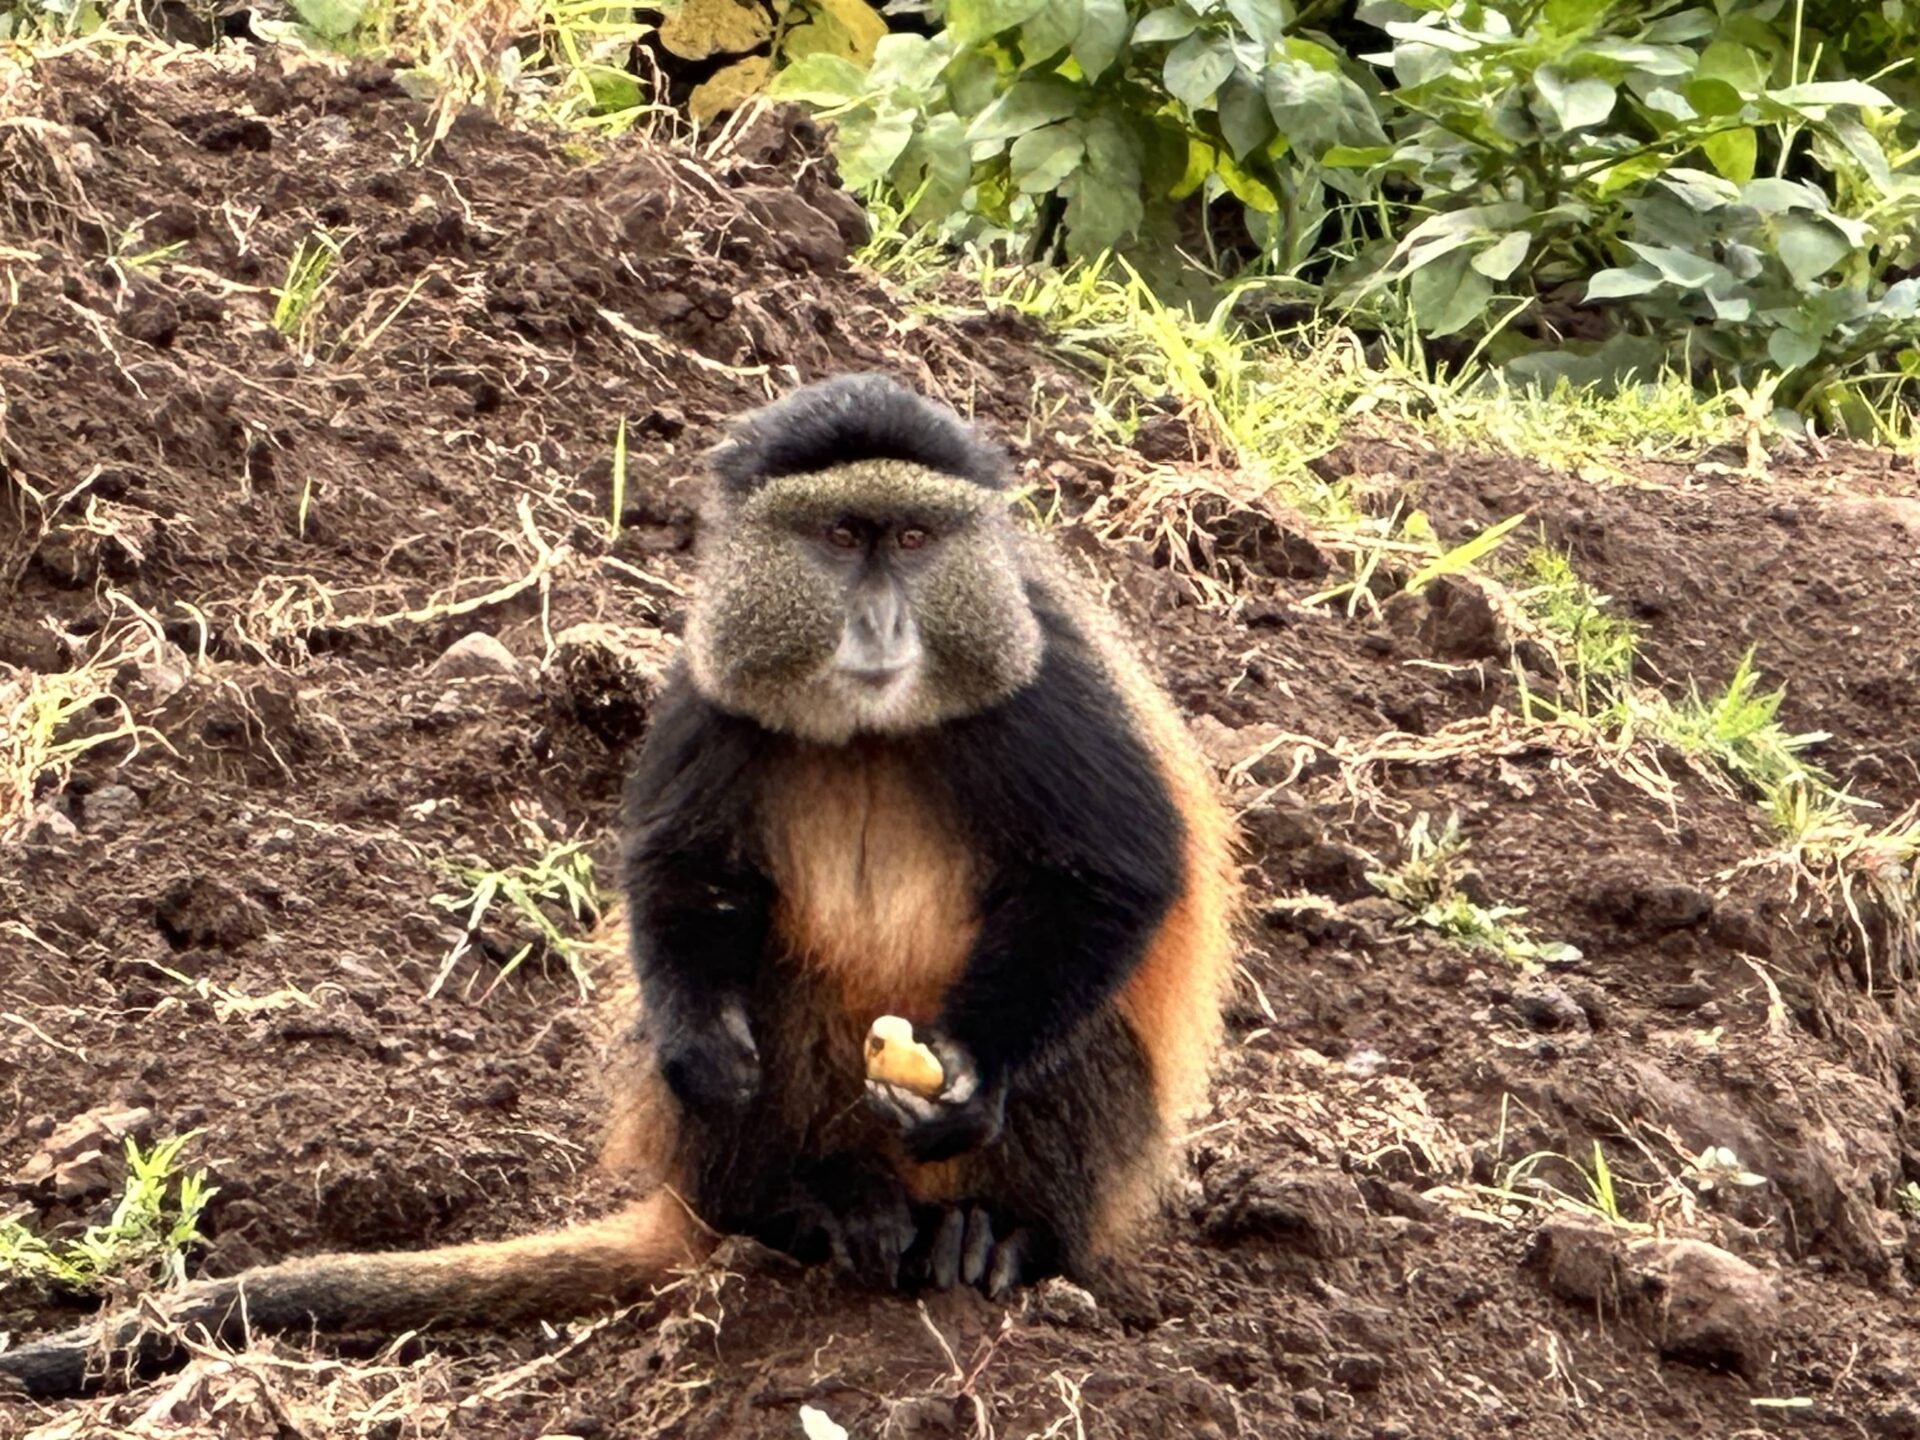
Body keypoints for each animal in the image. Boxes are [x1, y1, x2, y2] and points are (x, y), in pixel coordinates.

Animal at [0, 373, 1238, 1399]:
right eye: (842, 535)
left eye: (917, 536)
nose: (884, 619)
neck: (872, 729)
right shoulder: (709, 677)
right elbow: (688, 874)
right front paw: (700, 1046)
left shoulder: (1046, 685)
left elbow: (1115, 876)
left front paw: (968, 1076)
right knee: (771, 991)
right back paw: (810, 1209)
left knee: (1083, 1046)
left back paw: (995, 1236)